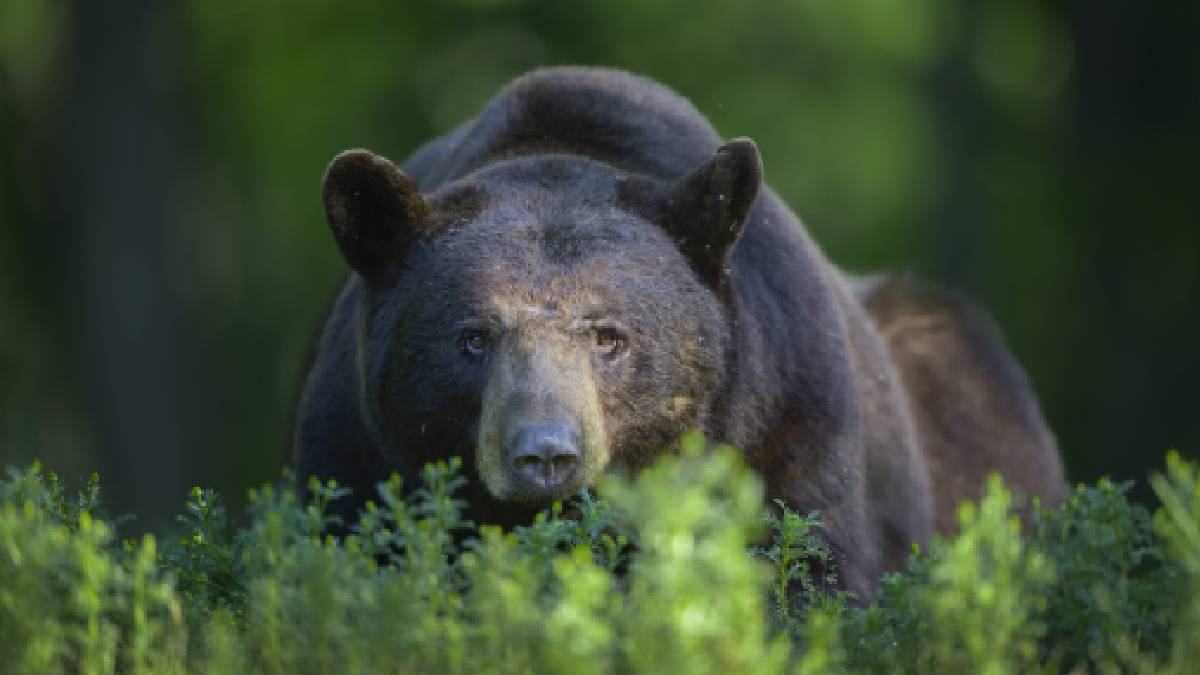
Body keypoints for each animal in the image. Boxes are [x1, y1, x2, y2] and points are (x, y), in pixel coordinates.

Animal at [295, 65, 1065, 595]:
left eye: (609, 335)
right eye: (473, 336)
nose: (544, 454)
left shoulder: (791, 412)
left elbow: (807, 567)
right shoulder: (355, 447)